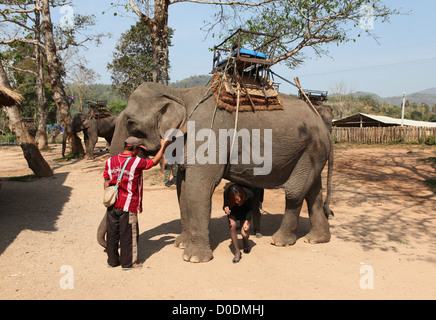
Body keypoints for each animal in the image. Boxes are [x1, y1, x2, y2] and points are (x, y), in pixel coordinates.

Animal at [97, 82, 332, 262]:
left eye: (131, 123)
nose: (105, 246)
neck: (176, 92)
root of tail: (322, 123)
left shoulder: (207, 136)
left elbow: (198, 187)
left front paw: (193, 258)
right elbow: (183, 190)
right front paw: (180, 244)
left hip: (310, 148)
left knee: (295, 192)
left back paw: (280, 241)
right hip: (312, 152)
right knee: (313, 192)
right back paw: (316, 239)